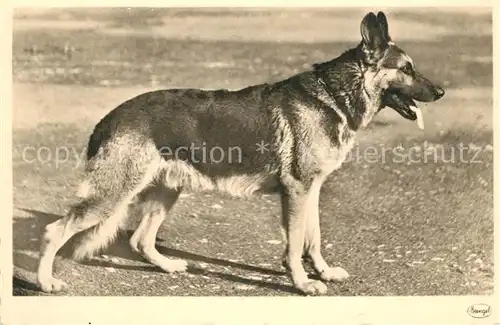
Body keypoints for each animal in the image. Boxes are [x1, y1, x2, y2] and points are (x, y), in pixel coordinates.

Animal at [38, 11, 446, 294]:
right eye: (407, 69)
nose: (442, 92)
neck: (331, 97)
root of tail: (110, 117)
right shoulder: (297, 191)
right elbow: (295, 244)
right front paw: (301, 283)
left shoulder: (311, 191)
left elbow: (313, 238)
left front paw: (324, 271)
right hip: (113, 196)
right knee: (55, 230)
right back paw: (45, 282)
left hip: (166, 190)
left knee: (140, 239)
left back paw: (168, 266)